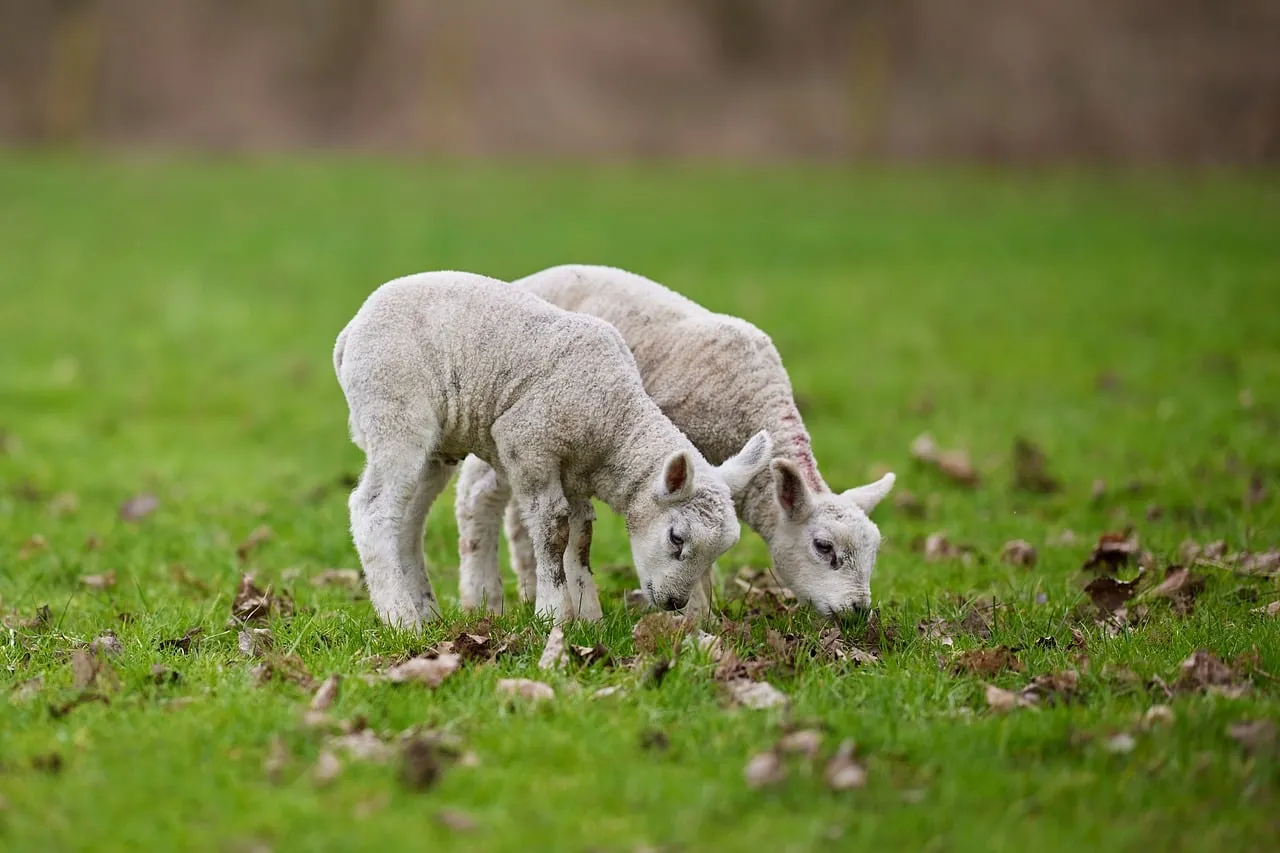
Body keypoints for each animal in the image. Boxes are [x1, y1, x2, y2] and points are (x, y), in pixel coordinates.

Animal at [333, 270, 772, 628]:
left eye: (719, 551)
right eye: (677, 539)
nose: (674, 603)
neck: (613, 422)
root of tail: (349, 331)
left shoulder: (575, 472)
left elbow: (580, 539)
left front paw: (588, 617)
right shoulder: (527, 447)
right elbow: (553, 531)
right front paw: (551, 615)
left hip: (435, 445)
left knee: (407, 519)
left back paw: (425, 611)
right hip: (394, 411)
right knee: (372, 509)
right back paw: (401, 619)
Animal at [455, 264, 895, 618]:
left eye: (874, 552)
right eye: (823, 547)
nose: (859, 611)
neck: (755, 398)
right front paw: (697, 618)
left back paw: (529, 588)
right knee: (479, 494)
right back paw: (482, 601)